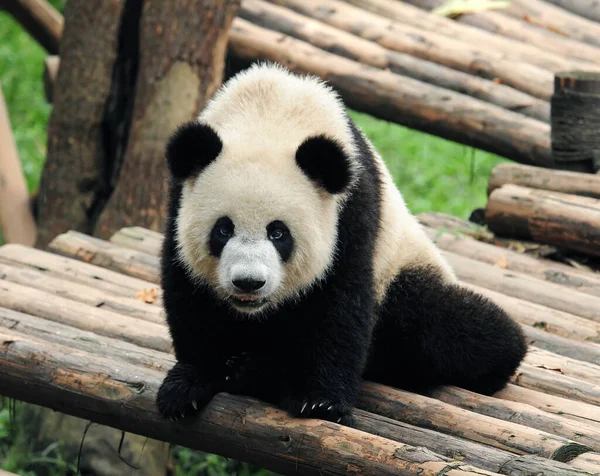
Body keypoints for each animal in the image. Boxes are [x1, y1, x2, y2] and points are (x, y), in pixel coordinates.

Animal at [157, 62, 528, 424]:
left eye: (278, 233)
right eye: (223, 230)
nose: (249, 283)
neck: (271, 112)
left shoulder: (350, 210)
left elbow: (339, 300)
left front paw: (321, 401)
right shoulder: (179, 200)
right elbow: (188, 289)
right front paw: (188, 384)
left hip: (404, 273)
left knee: (457, 329)